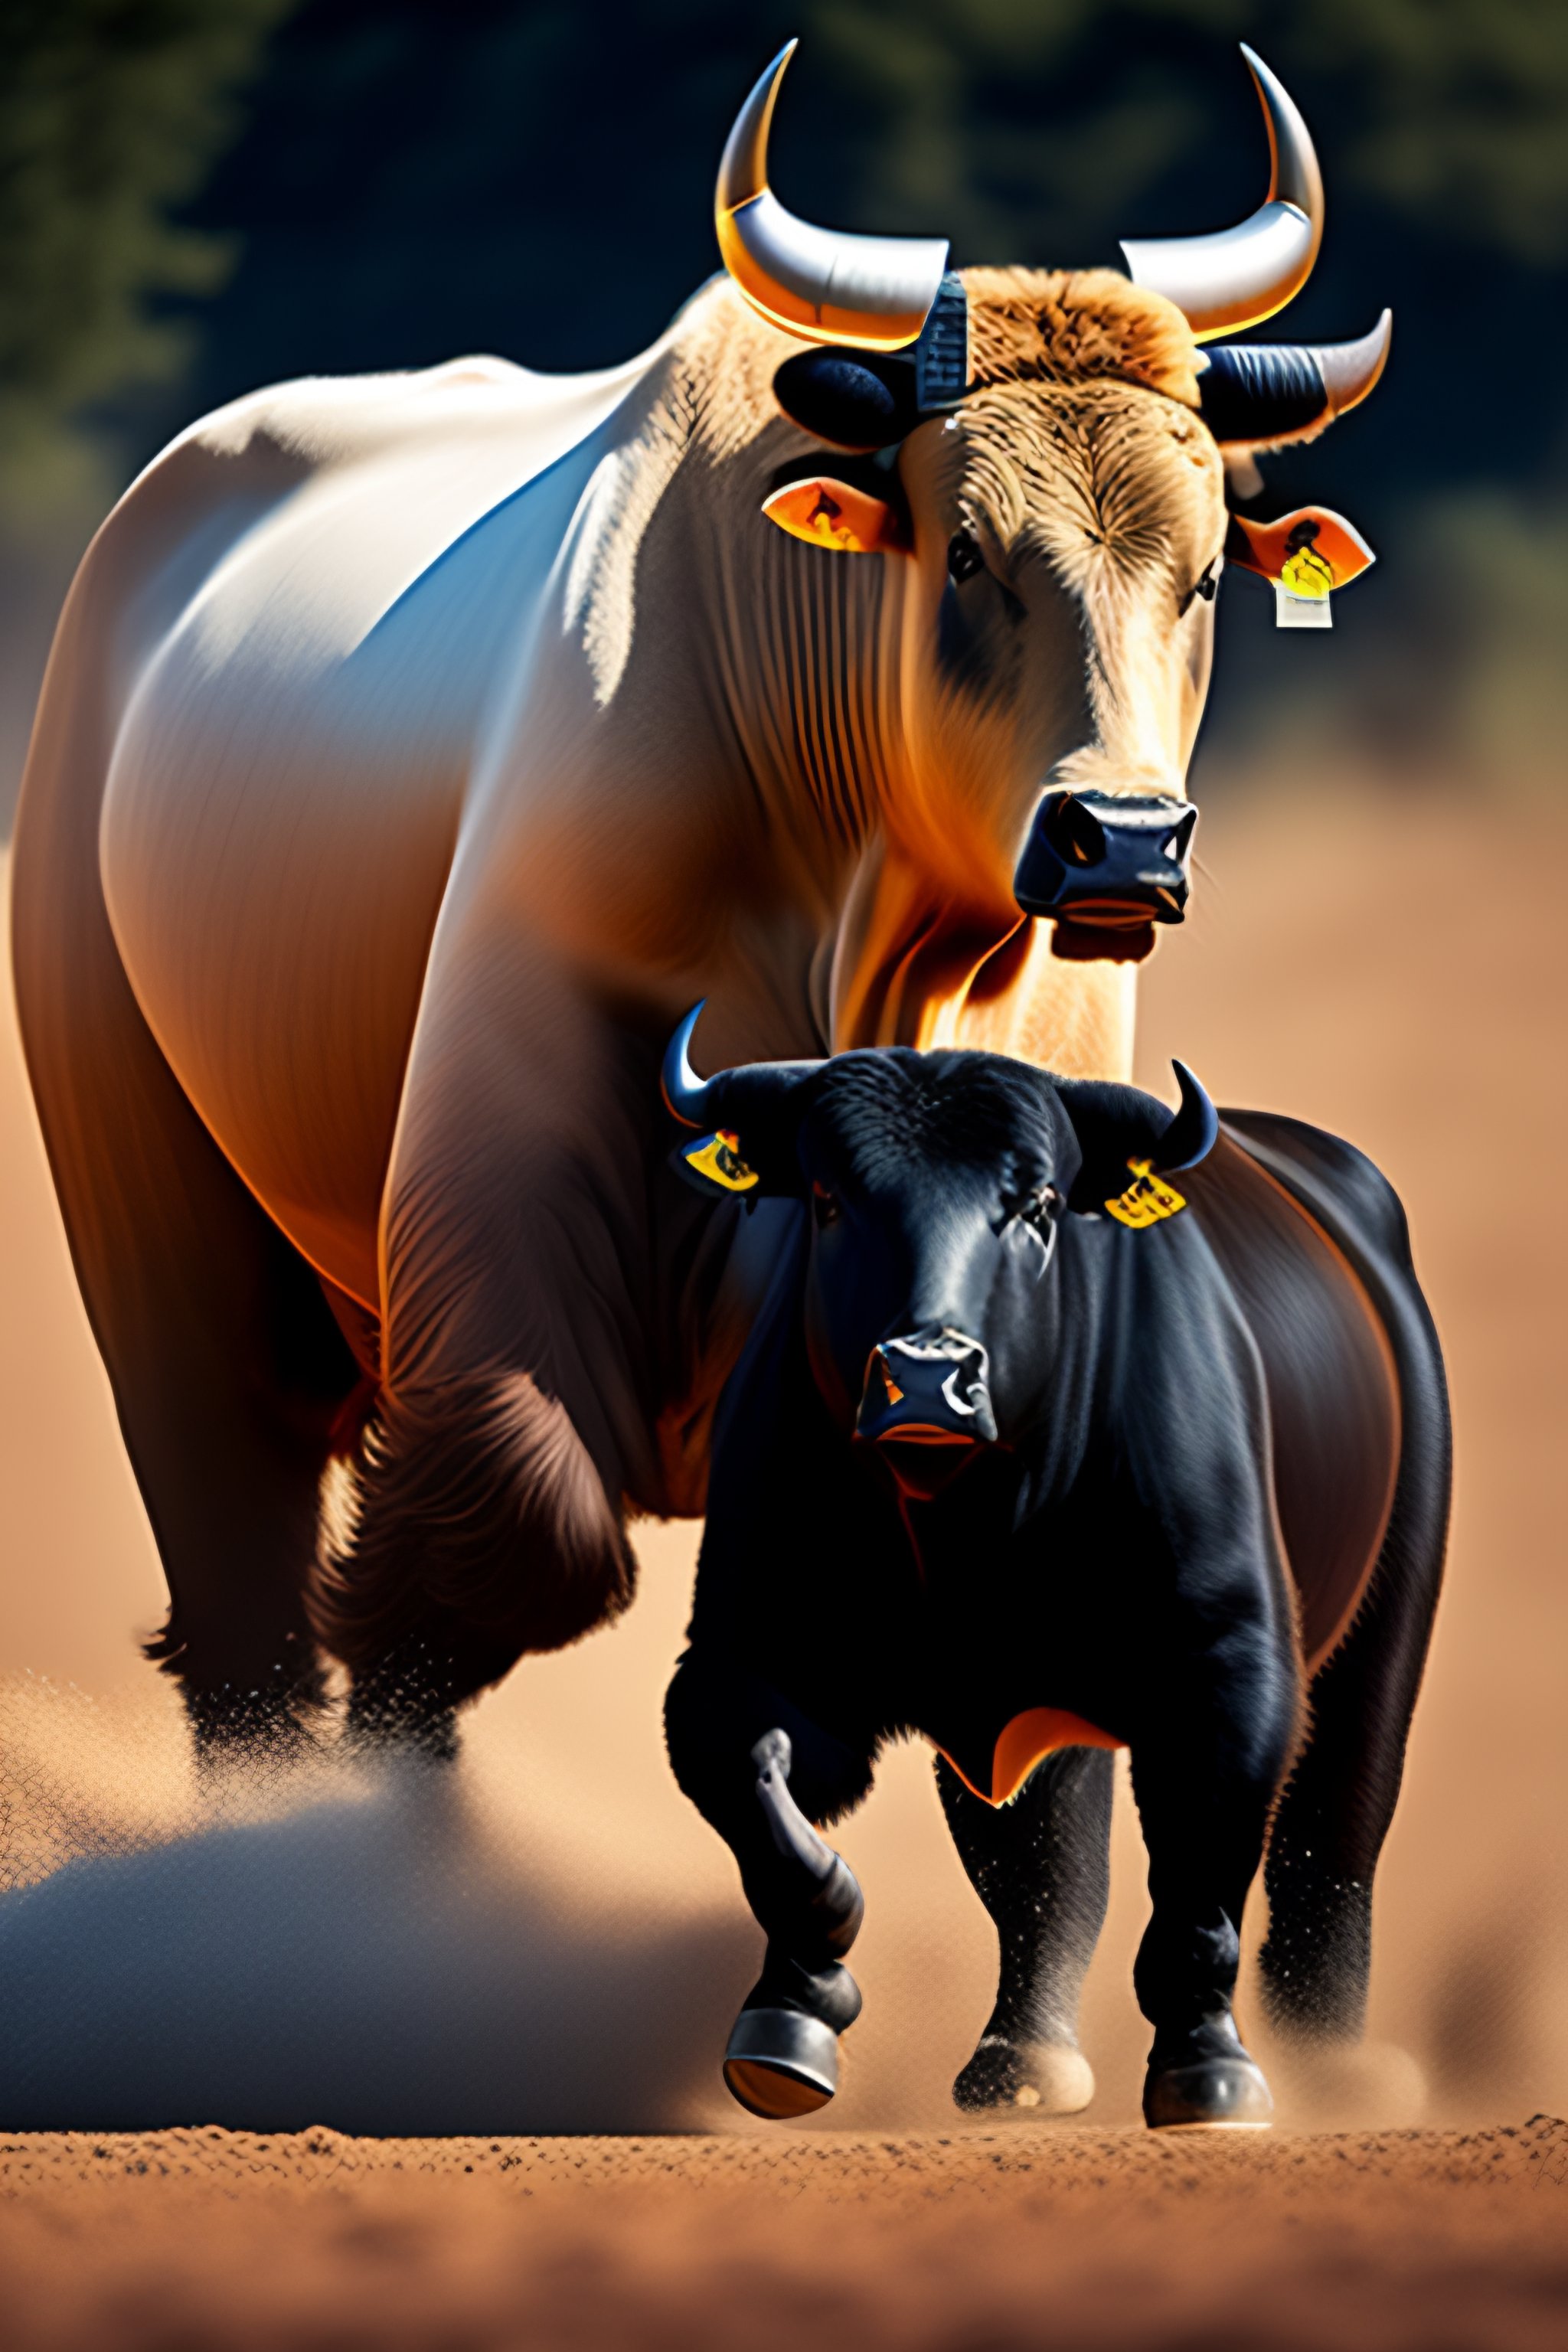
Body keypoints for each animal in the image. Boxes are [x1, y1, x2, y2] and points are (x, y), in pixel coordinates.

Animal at [11, 42, 1391, 1758]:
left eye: (1205, 575)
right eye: (963, 555)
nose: (1122, 844)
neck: (871, 924)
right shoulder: (498, 1223)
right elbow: (490, 1554)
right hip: (157, 1222)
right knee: (244, 1605)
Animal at [659, 1011, 1450, 2125]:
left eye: (1035, 1203)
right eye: (826, 1197)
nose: (926, 1378)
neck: (966, 1526)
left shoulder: (1228, 1668)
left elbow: (1200, 1874)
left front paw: (1209, 2065)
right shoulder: (748, 1656)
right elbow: (759, 1803)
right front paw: (795, 2008)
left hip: (1384, 1625)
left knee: (1336, 1827)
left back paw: (1330, 2067)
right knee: (1047, 1858)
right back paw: (1023, 2059)